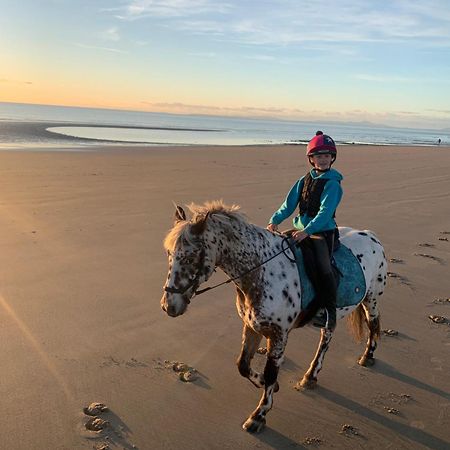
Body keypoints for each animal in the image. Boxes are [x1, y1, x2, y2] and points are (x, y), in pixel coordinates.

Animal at [161, 200, 386, 432]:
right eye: (169, 254)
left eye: (189, 257)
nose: (169, 306)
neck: (262, 271)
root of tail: (371, 236)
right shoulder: (252, 326)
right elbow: (243, 365)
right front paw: (268, 385)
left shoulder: (278, 334)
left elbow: (270, 372)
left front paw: (258, 416)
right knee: (327, 336)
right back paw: (310, 376)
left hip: (371, 298)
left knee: (373, 325)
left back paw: (366, 357)